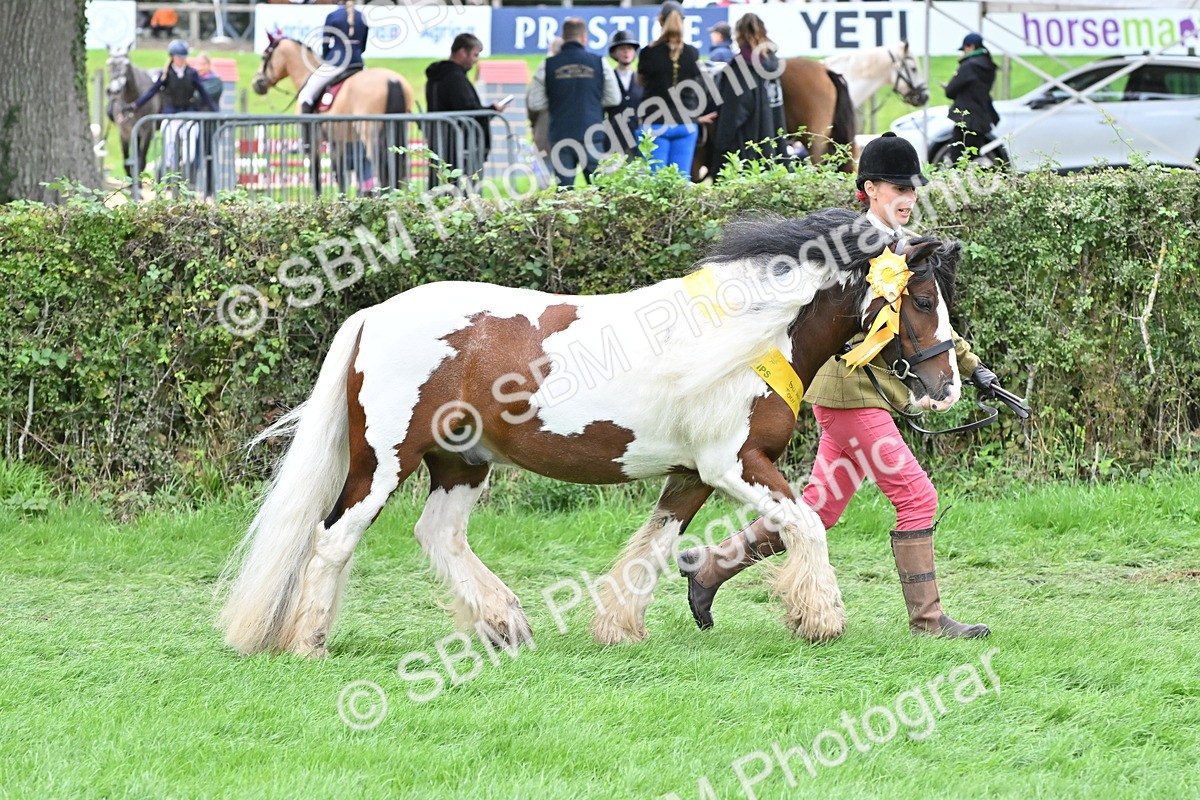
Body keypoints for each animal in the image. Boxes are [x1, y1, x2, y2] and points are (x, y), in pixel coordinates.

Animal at [105, 47, 161, 178]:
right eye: (109, 63)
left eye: (127, 64)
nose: (114, 90)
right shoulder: (125, 132)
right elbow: (127, 162)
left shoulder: (147, 131)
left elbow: (141, 161)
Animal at [219, 207, 965, 659]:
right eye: (924, 300)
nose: (949, 386)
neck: (751, 337)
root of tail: (372, 316)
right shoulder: (734, 464)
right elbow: (806, 524)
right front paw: (821, 618)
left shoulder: (691, 475)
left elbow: (654, 548)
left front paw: (619, 628)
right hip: (383, 463)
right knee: (332, 539)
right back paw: (310, 642)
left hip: (462, 462)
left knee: (439, 535)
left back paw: (506, 623)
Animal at [251, 34, 415, 193]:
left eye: (264, 57)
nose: (257, 84)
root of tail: (392, 80)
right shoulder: (338, 140)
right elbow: (340, 175)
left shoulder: (316, 141)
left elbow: (316, 174)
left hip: (370, 132)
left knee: (381, 168)